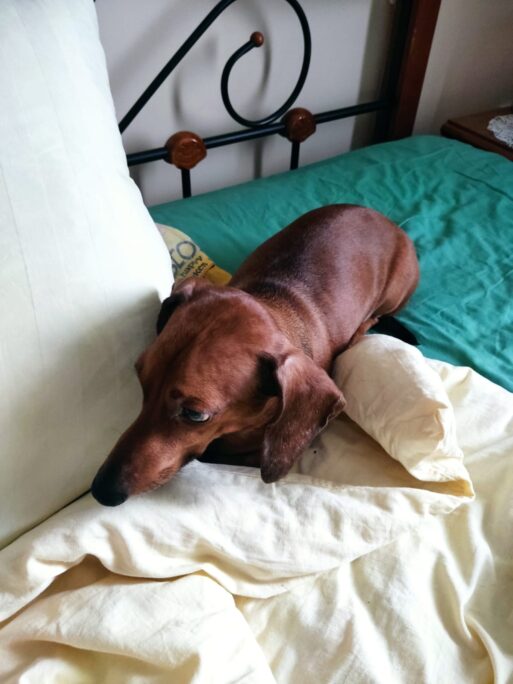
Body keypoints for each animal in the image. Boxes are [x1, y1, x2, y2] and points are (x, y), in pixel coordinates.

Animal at [91, 204, 419, 506]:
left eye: (195, 414)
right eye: (141, 379)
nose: (101, 491)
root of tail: (386, 221)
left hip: (394, 293)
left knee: (375, 317)